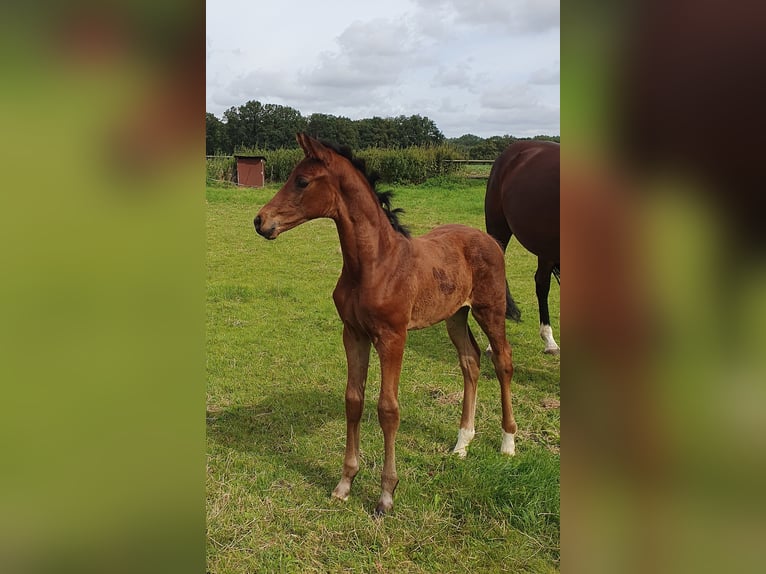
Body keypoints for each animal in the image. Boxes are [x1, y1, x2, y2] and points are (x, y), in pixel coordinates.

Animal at [255, 135, 520, 516]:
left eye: (302, 181)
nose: (260, 221)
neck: (373, 264)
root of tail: (490, 241)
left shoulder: (393, 338)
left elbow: (388, 408)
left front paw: (386, 494)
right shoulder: (353, 334)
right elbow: (354, 400)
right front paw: (344, 483)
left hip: (490, 311)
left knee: (502, 362)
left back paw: (508, 442)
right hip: (455, 315)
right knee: (470, 361)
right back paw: (462, 444)